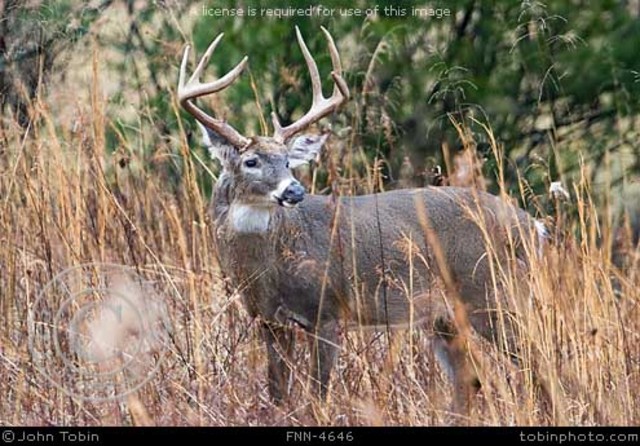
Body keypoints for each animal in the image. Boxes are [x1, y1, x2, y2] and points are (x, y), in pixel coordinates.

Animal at [177, 27, 549, 415]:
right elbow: (277, 394)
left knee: (541, 367)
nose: (295, 190)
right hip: (444, 317)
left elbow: (318, 395)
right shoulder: (268, 320)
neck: (269, 267)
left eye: (288, 161)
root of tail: (534, 226)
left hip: (495, 293)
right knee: (471, 379)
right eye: (251, 162)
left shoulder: (327, 310)